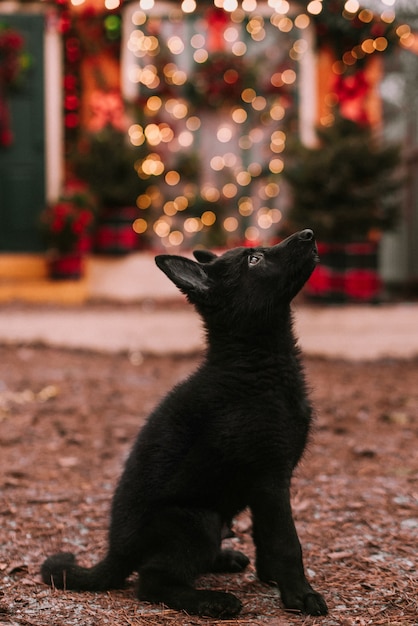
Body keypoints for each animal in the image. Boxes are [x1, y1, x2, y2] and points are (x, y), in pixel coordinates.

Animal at [40, 228, 328, 616]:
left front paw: (273, 580)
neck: (253, 364)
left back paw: (223, 560)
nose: (309, 233)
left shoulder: (263, 485)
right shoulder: (269, 477)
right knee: (152, 582)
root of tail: (116, 553)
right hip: (198, 521)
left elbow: (265, 535)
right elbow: (286, 541)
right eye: (254, 260)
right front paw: (300, 596)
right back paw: (212, 601)